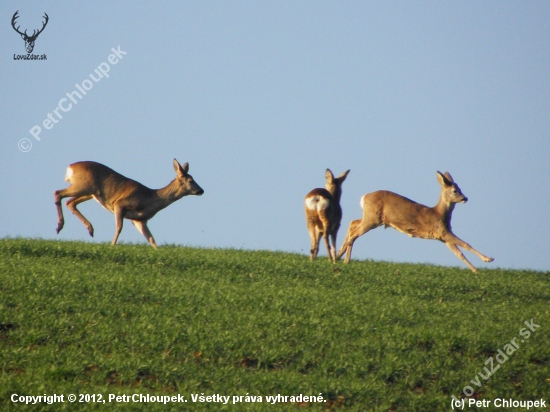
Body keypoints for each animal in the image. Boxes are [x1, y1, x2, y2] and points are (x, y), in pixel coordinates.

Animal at [54, 158, 205, 248]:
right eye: (191, 181)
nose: (201, 190)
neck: (150, 198)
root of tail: (70, 167)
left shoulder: (139, 220)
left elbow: (151, 238)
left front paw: (158, 251)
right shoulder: (119, 204)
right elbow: (119, 227)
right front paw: (112, 246)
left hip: (89, 192)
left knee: (70, 202)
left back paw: (89, 229)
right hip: (84, 186)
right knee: (58, 193)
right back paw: (59, 226)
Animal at [336, 171, 496, 274]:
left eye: (460, 188)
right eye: (455, 191)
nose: (465, 198)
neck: (440, 214)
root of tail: (363, 198)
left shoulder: (443, 237)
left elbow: (459, 253)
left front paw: (475, 269)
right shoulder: (443, 232)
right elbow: (466, 244)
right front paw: (487, 260)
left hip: (372, 218)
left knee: (352, 223)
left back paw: (340, 256)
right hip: (373, 218)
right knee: (354, 233)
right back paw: (344, 259)